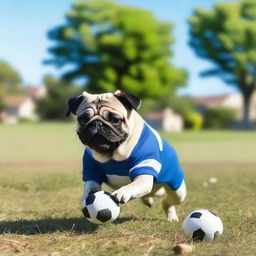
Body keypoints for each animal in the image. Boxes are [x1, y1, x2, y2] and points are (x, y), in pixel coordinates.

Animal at [66, 91, 186, 221]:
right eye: (83, 119)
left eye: (115, 119)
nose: (97, 123)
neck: (112, 153)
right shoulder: (92, 172)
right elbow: (90, 188)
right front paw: (86, 196)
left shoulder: (144, 171)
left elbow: (134, 185)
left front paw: (122, 192)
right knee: (150, 195)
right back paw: (147, 200)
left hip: (178, 191)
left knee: (167, 202)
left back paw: (171, 216)